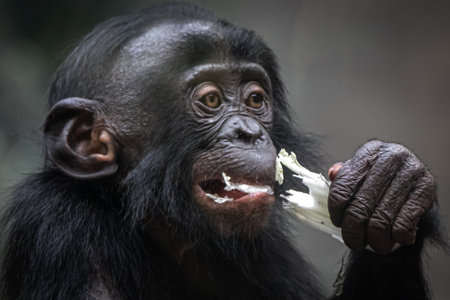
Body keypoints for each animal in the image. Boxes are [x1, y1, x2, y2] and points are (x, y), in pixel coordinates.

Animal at [0, 2, 442, 300]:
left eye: (255, 99)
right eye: (211, 100)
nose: (249, 132)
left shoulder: (268, 256)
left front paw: (391, 182)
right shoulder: (63, 227)